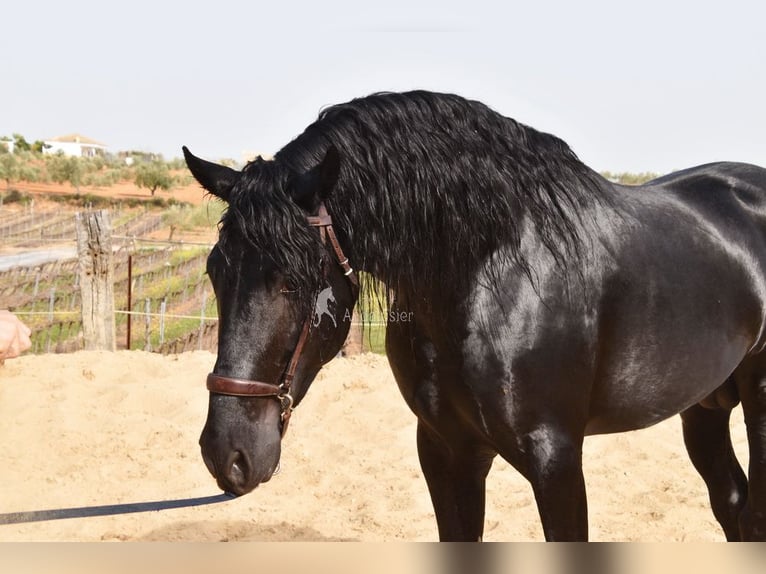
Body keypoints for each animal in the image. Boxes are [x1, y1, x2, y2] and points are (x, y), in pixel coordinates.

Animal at [183, 90, 766, 541]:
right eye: (215, 271)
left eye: (293, 280)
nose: (227, 453)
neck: (489, 273)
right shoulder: (448, 453)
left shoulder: (556, 459)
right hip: (705, 405)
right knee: (733, 503)